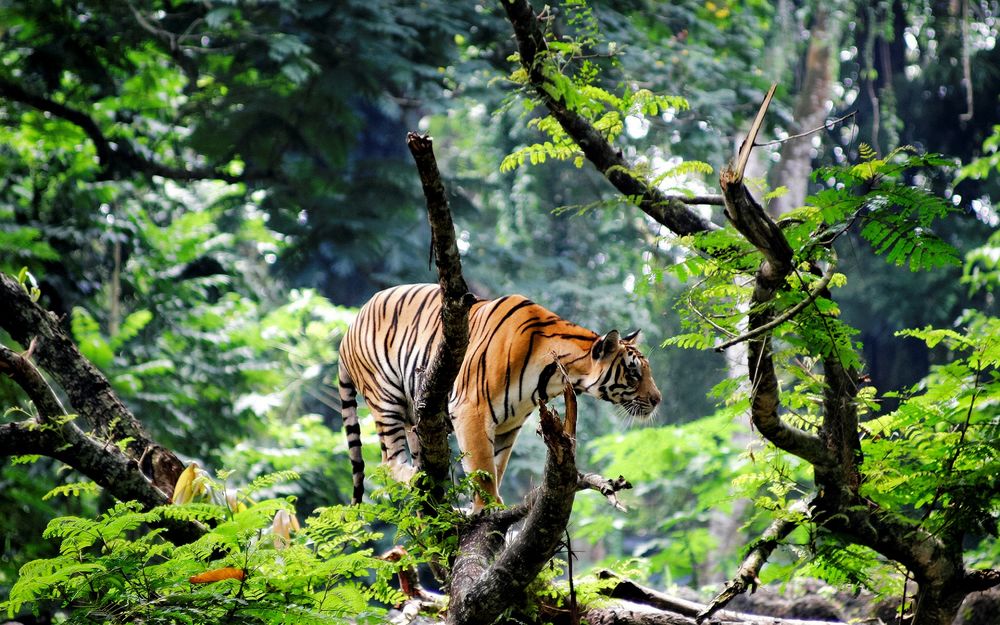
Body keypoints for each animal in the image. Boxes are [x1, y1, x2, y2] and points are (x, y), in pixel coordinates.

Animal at [337, 283, 661, 509]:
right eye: (634, 373)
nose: (657, 399)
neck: (554, 376)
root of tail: (349, 327)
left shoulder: (509, 424)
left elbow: (497, 465)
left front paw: (482, 506)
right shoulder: (472, 409)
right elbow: (482, 467)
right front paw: (487, 508)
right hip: (385, 398)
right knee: (388, 461)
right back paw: (418, 479)